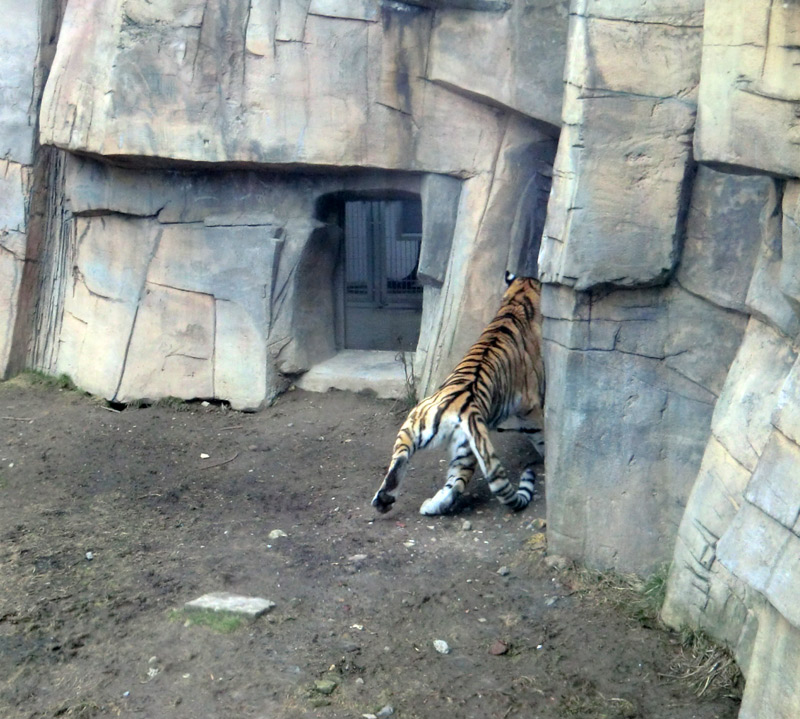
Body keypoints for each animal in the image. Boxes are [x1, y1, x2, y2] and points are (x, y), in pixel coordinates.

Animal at [372, 272, 548, 516]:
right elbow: (540, 433)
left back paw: (393, 500)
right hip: (463, 447)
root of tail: (458, 407)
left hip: (422, 431)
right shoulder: (530, 406)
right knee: (454, 485)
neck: (518, 299)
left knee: (411, 464)